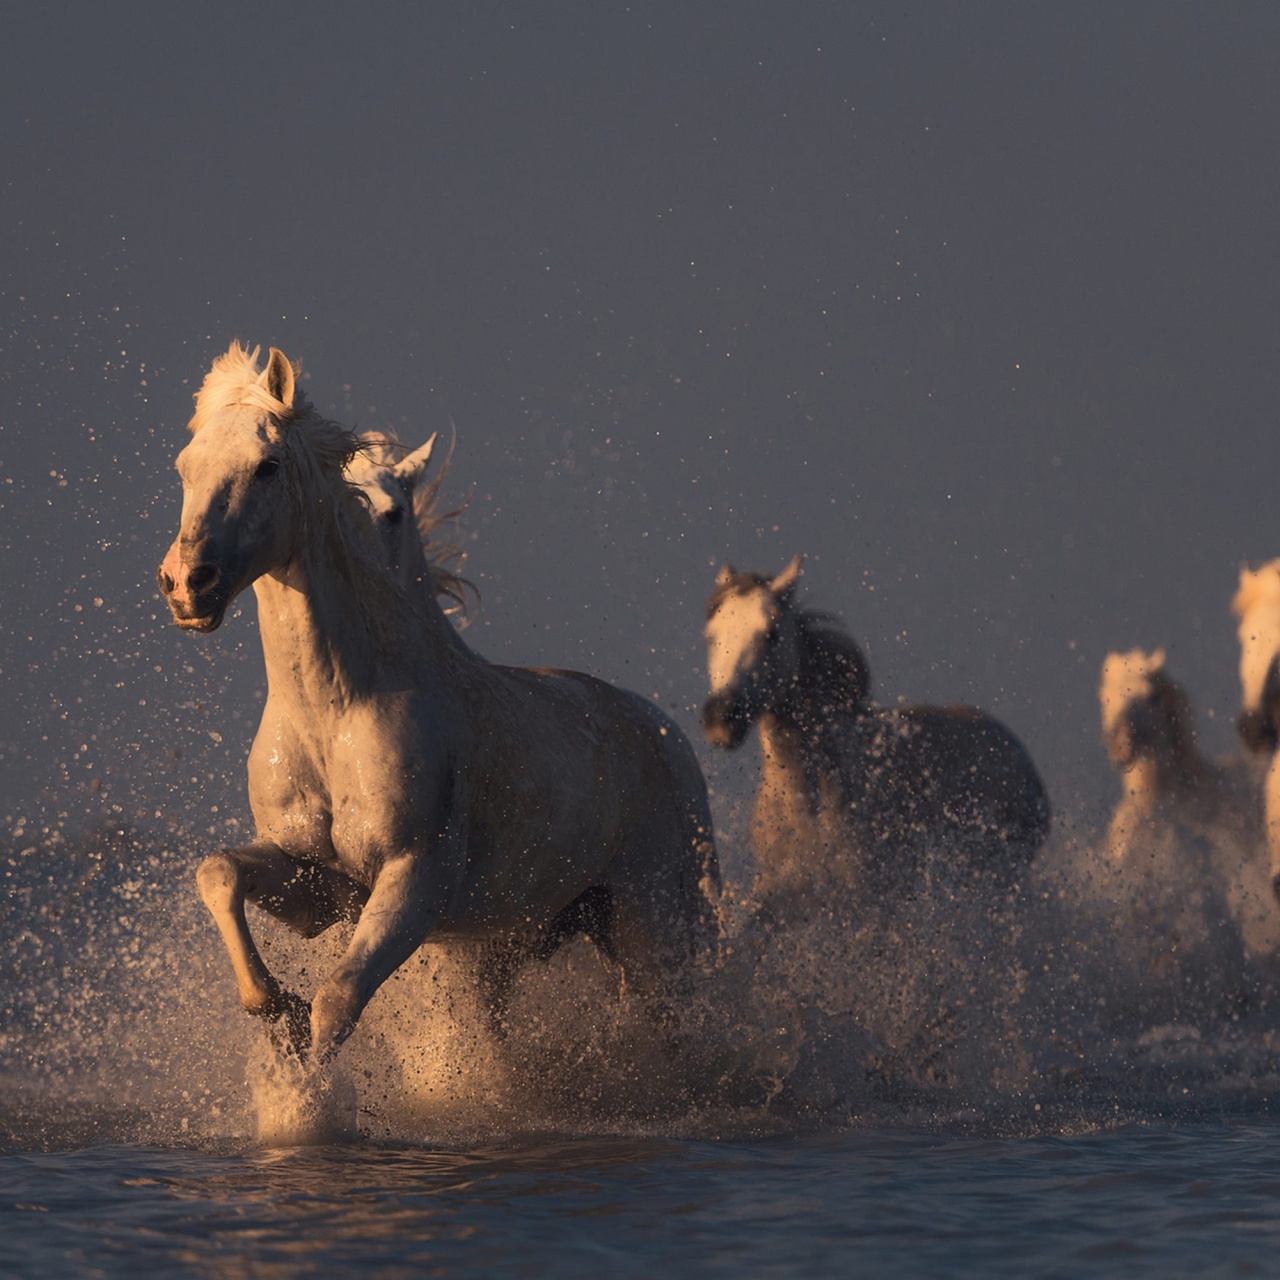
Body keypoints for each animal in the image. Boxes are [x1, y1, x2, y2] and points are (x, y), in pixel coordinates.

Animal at [157, 343, 719, 1064]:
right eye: (184, 467)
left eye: (267, 465)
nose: (186, 585)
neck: (335, 712)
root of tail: (665, 734)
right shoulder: (319, 884)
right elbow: (219, 872)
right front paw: (274, 1009)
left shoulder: (414, 884)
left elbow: (338, 1000)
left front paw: (307, 1074)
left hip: (653, 924)